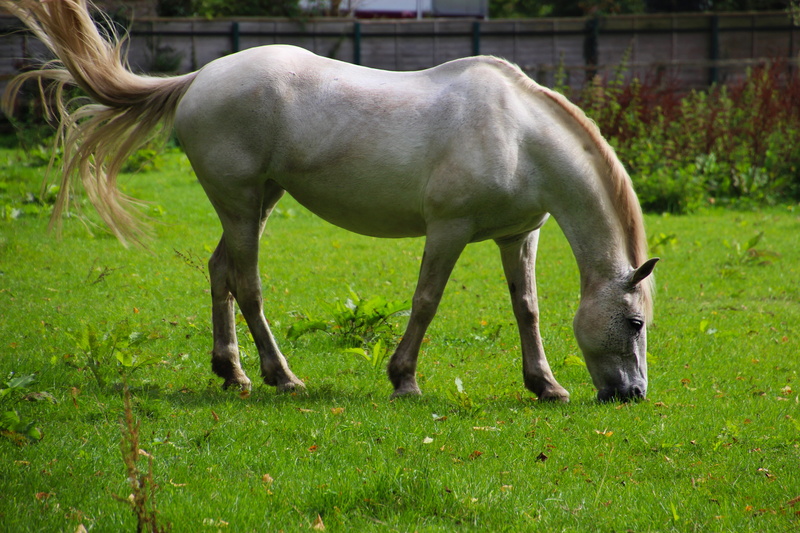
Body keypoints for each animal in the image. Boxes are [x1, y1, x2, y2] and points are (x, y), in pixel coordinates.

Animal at [1, 0, 658, 402]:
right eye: (634, 322)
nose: (631, 395)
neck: (519, 135)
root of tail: (200, 78)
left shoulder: (517, 235)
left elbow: (527, 309)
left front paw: (545, 385)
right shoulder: (448, 230)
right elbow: (426, 301)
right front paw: (404, 380)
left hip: (258, 202)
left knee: (219, 272)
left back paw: (232, 372)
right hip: (242, 204)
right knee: (246, 283)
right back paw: (282, 377)